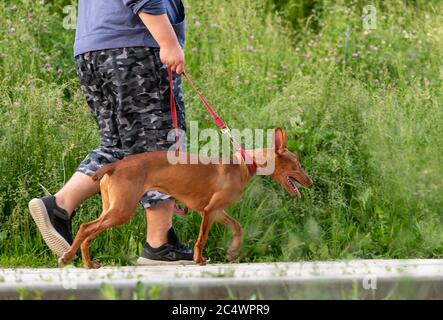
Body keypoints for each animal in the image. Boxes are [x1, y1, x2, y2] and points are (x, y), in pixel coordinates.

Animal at [59, 127, 314, 268]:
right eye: (297, 164)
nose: (311, 181)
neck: (244, 163)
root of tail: (114, 165)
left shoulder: (217, 211)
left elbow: (238, 227)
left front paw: (232, 252)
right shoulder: (209, 212)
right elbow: (202, 238)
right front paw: (199, 259)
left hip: (112, 209)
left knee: (89, 233)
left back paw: (88, 263)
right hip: (121, 211)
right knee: (84, 227)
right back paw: (68, 256)